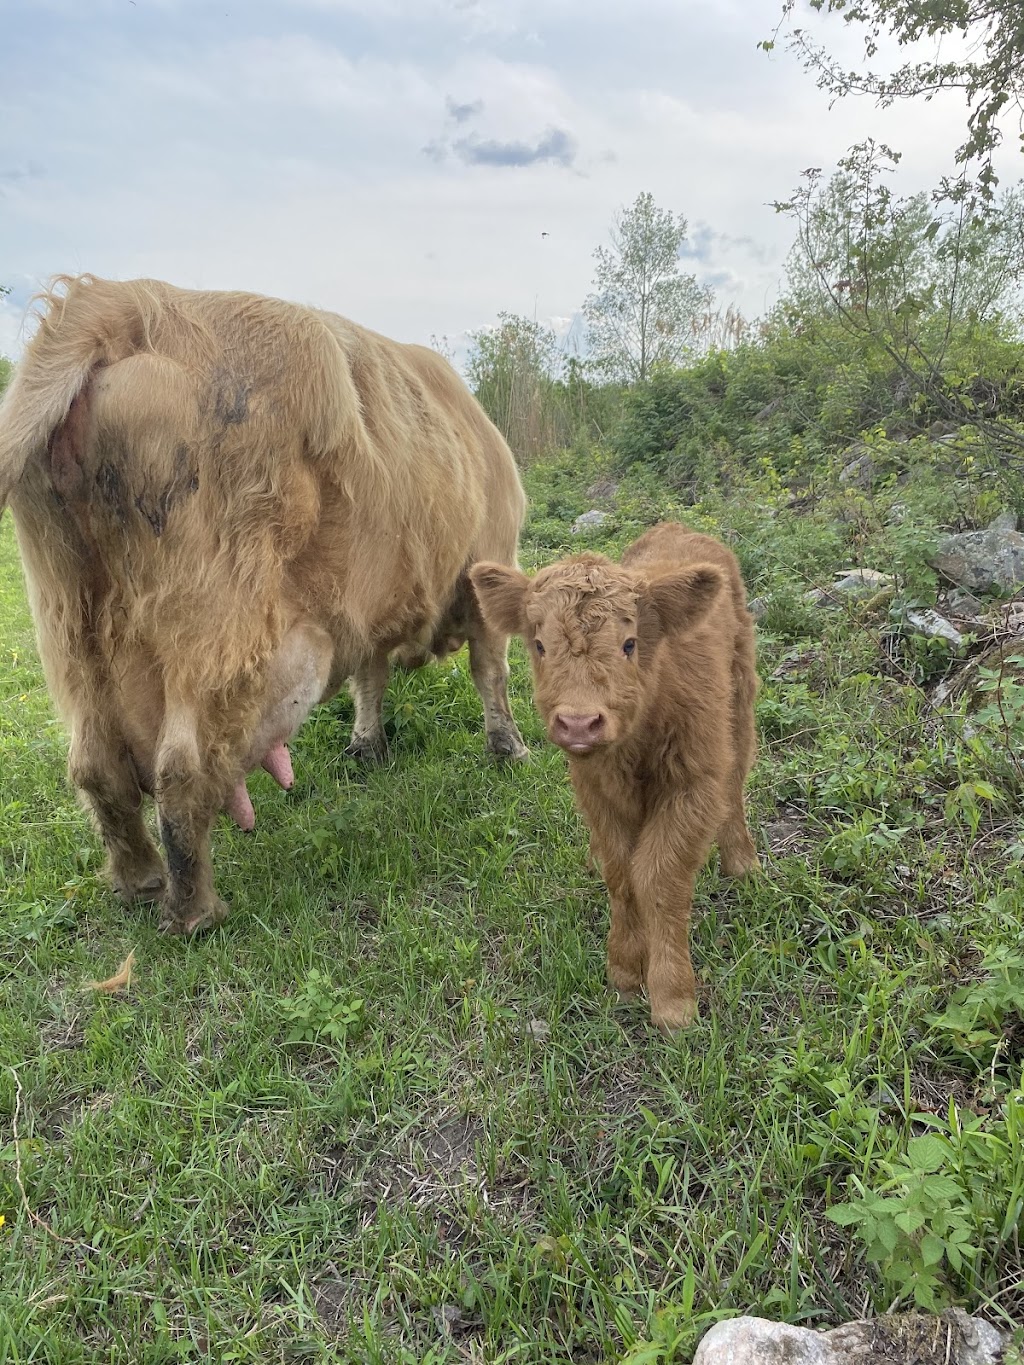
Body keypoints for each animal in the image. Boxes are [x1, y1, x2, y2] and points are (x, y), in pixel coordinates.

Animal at [0, 277, 529, 939]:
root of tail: (123, 300)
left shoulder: (365, 612)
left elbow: (370, 675)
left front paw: (367, 747)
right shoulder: (490, 566)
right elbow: (492, 672)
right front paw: (511, 749)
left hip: (69, 627)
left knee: (97, 767)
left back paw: (140, 884)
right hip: (218, 628)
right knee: (182, 767)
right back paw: (194, 912)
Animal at [475, 521, 764, 1031]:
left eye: (630, 644)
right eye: (539, 645)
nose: (578, 723)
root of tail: (679, 527)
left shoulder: (693, 785)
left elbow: (658, 876)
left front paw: (673, 1001)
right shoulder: (596, 792)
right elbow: (621, 873)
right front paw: (626, 973)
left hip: (740, 693)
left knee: (737, 778)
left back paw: (742, 862)